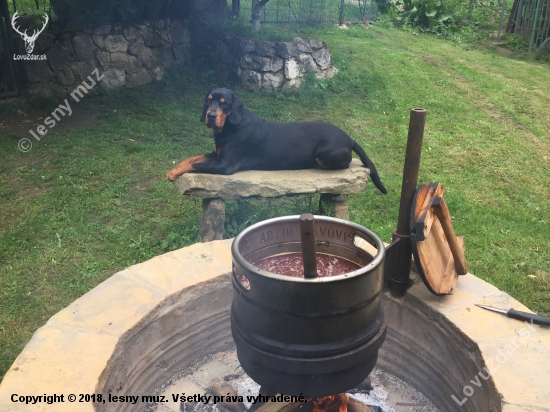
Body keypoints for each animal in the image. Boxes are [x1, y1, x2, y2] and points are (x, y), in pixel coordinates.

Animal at [167, 87, 388, 194]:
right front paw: (173, 171)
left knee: (343, 164)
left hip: (324, 155)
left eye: (224, 103)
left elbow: (196, 164)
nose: (211, 116)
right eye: (208, 100)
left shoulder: (225, 165)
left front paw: (174, 174)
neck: (230, 128)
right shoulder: (216, 154)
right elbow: (191, 158)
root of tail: (349, 137)